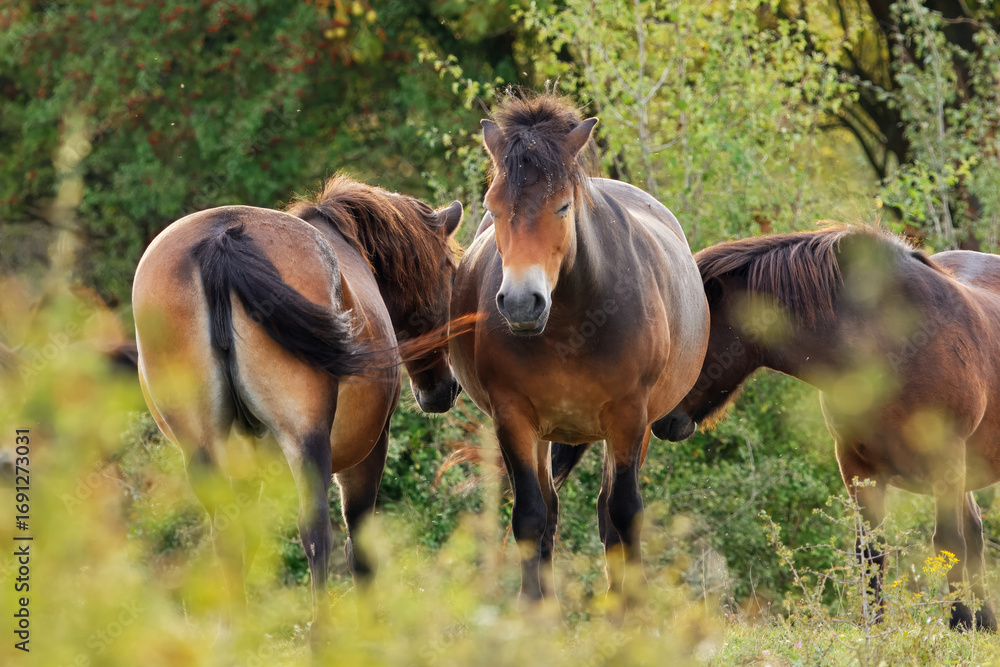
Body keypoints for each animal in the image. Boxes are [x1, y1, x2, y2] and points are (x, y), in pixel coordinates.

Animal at [132, 175, 463, 637]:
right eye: (449, 272)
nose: (444, 390)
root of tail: (223, 237)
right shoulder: (367, 454)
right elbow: (358, 546)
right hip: (308, 441)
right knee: (317, 534)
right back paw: (320, 636)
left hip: (203, 451)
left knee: (227, 540)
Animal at [450, 93, 709, 604]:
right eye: (492, 205)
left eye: (564, 205)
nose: (521, 302)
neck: (573, 322)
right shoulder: (513, 416)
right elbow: (531, 515)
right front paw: (532, 608)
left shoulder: (629, 416)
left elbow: (623, 512)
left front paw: (630, 607)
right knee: (550, 507)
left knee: (609, 511)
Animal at [638, 225, 1000, 631]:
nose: (661, 420)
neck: (892, 344)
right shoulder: (857, 466)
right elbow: (871, 551)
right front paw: (875, 630)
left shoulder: (944, 457)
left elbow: (949, 542)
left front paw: (959, 623)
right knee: (974, 531)